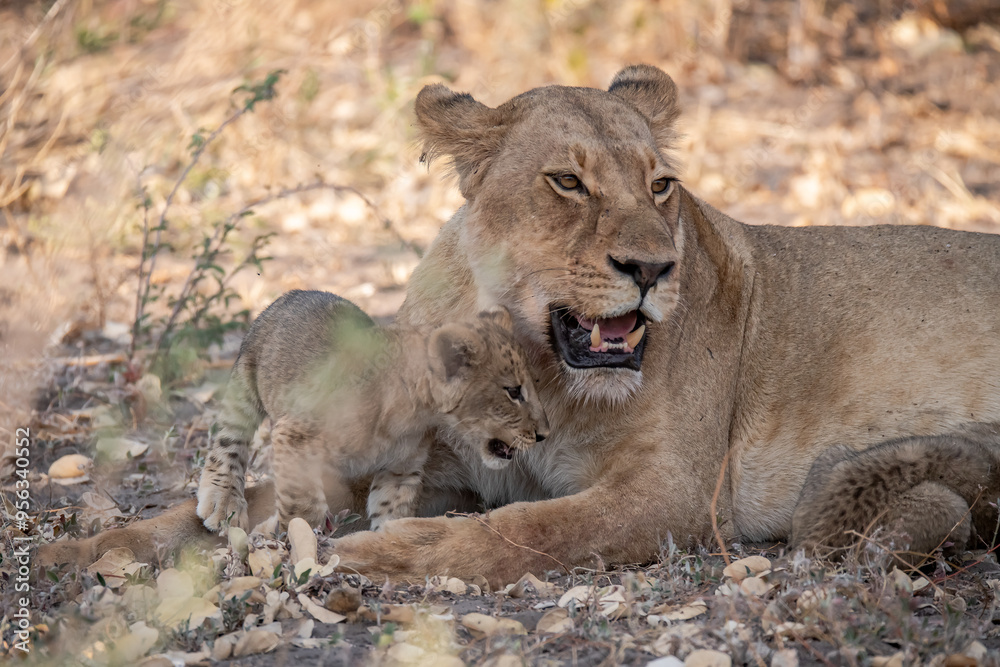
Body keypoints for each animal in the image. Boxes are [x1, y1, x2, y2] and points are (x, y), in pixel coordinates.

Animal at [36, 65, 1000, 586]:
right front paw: (88, 551)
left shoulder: (675, 493)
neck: (542, 367)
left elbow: (528, 528)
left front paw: (392, 551)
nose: (654, 268)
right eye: (567, 182)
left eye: (662, 186)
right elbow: (194, 517)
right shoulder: (419, 457)